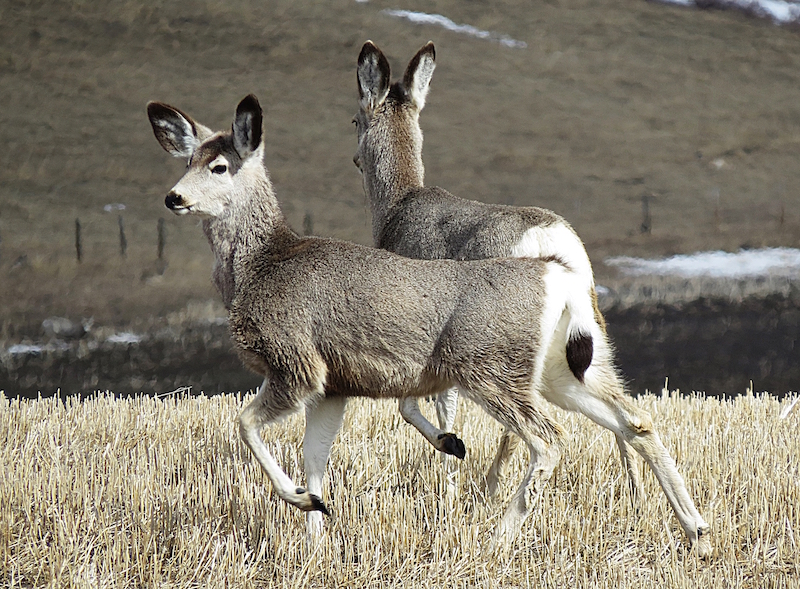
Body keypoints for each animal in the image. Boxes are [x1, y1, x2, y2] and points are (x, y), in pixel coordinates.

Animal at [147, 93, 708, 556]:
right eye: (187, 160)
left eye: (219, 166)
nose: (173, 197)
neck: (263, 264)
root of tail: (560, 274)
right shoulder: (335, 386)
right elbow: (316, 461)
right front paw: (314, 537)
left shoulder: (296, 363)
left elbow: (242, 423)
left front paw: (301, 503)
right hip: (557, 369)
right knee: (634, 419)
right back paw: (697, 531)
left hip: (490, 367)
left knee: (550, 438)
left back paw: (496, 541)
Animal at [354, 41, 708, 556]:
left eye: (353, 119)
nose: (354, 159)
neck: (397, 208)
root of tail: (553, 243)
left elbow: (426, 408)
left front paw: (450, 478)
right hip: (584, 341)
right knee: (629, 416)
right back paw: (674, 519)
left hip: (508, 349)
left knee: (532, 427)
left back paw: (491, 495)